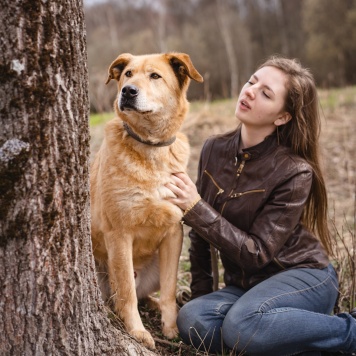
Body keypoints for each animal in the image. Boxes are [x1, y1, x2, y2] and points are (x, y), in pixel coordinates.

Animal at [90, 53, 203, 350]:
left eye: (155, 76)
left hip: (152, 269)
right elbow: (126, 294)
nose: (128, 91)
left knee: (144, 293)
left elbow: (170, 287)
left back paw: (153, 305)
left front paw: (171, 328)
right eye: (128, 74)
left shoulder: (174, 232)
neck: (151, 147)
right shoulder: (119, 234)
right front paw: (137, 332)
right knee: (118, 296)